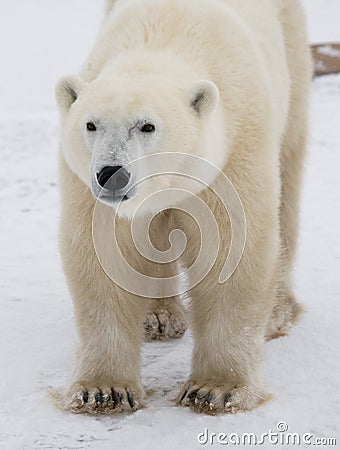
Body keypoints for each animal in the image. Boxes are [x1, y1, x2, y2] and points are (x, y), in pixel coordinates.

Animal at [54, 0, 312, 414]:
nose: (111, 174)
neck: (163, 37)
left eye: (147, 126)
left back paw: (278, 311)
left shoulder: (233, 150)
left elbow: (231, 251)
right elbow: (105, 257)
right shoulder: (88, 191)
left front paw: (217, 388)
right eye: (91, 125)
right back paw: (159, 316)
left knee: (287, 180)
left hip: (293, 61)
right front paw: (104, 389)